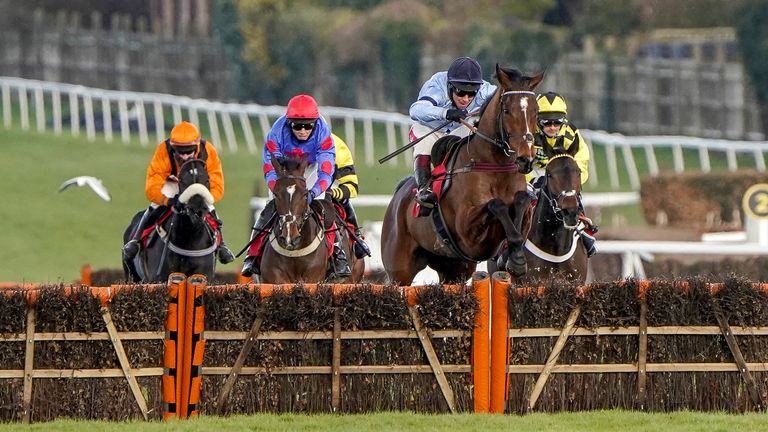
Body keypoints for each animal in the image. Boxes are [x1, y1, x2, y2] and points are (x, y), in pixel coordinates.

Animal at [260, 154, 364, 284]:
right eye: (275, 194)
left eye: (305, 194)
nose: (290, 237)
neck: (295, 253)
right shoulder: (273, 278)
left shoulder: (313, 276)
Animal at [380, 66, 544, 286]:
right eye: (507, 110)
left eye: (536, 111)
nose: (525, 159)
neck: (494, 167)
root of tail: (399, 195)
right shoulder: (468, 234)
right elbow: (496, 205)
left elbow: (522, 201)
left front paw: (515, 259)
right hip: (399, 270)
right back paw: (425, 194)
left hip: (454, 269)